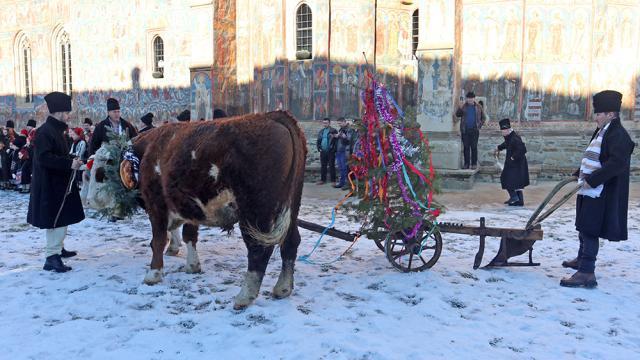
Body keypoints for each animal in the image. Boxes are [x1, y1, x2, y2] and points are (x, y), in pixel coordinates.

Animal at [85, 112, 308, 310]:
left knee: (259, 250)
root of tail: (274, 116)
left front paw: (153, 274)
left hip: (256, 213)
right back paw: (283, 288)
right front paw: (192, 265)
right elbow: (189, 235)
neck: (146, 152)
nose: (88, 202)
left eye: (99, 174)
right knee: (291, 242)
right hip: (290, 209)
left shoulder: (156, 205)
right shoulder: (188, 206)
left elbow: (158, 240)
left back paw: (244, 296)